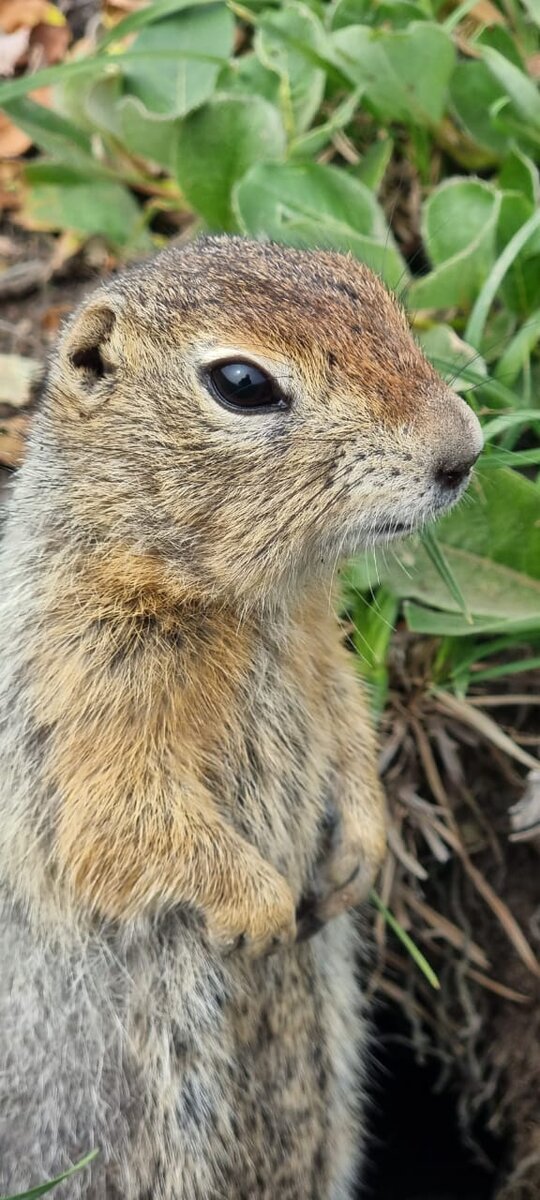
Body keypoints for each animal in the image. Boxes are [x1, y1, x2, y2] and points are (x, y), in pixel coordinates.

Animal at [0, 238, 480, 1195]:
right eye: (242, 384)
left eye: (373, 289)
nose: (465, 449)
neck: (248, 603)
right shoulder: (90, 677)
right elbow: (123, 821)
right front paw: (261, 912)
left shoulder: (323, 655)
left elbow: (349, 730)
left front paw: (362, 851)